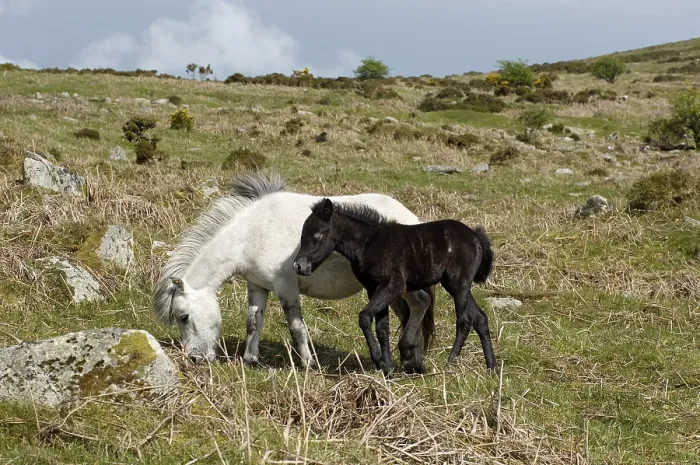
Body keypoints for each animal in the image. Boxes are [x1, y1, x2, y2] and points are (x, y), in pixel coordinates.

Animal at [152, 171, 435, 371]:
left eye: (183, 317)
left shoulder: (286, 287)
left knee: (421, 304)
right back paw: (411, 360)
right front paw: (250, 359)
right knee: (409, 313)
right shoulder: (258, 286)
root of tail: (412, 220)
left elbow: (296, 327)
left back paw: (410, 357)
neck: (252, 232)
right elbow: (253, 322)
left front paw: (308, 364)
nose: (194, 359)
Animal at [293, 197, 497, 375]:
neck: (368, 244)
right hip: (457, 285)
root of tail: (476, 237)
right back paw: (491, 367)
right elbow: (382, 329)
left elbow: (365, 317)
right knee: (480, 318)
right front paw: (388, 367)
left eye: (317, 235)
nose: (298, 266)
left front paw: (379, 361)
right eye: (302, 234)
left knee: (464, 320)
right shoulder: (373, 289)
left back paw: (450, 362)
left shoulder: (394, 286)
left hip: (458, 283)